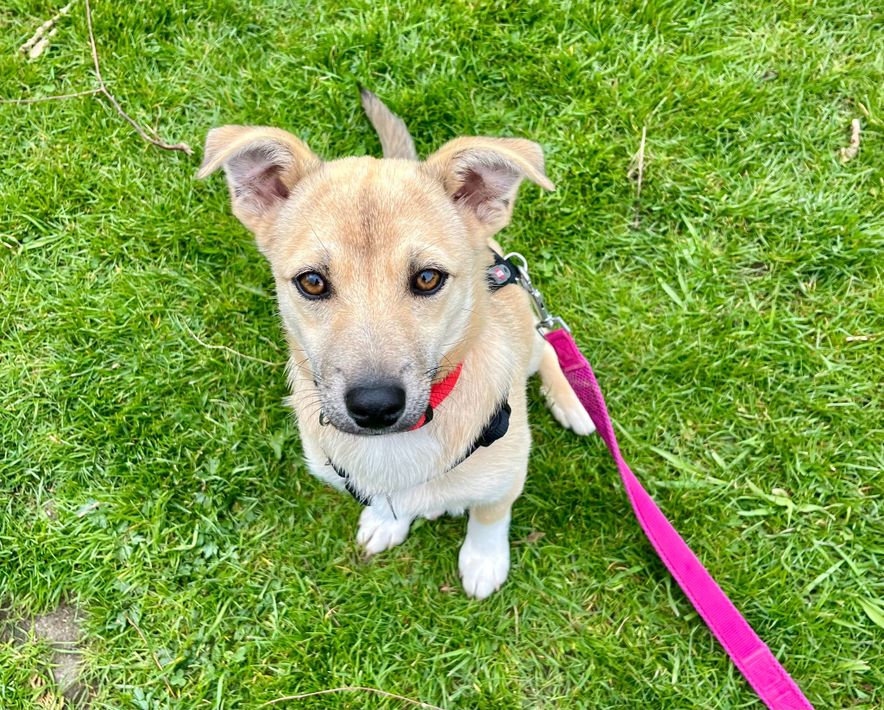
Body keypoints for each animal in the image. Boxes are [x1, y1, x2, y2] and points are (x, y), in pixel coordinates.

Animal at [197, 90, 594, 598]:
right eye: (311, 282)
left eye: (428, 278)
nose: (374, 405)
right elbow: (390, 502)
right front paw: (387, 522)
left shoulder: (506, 476)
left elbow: (489, 516)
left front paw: (484, 560)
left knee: (548, 348)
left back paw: (573, 401)